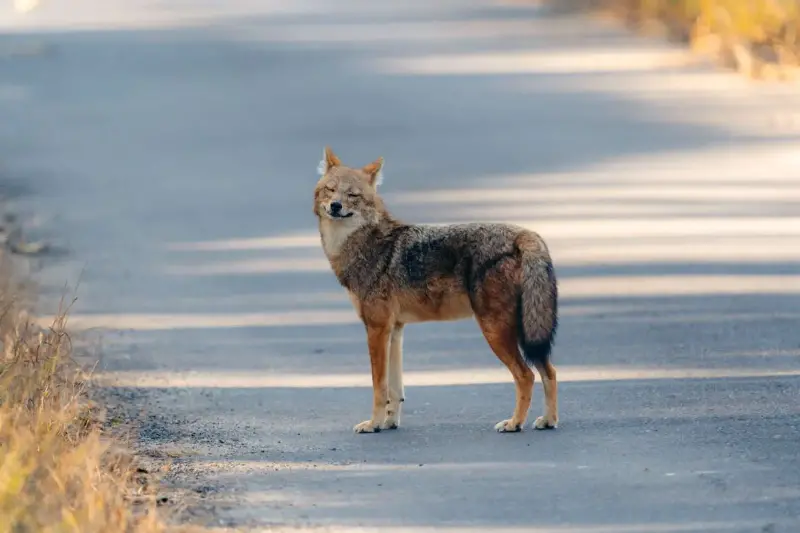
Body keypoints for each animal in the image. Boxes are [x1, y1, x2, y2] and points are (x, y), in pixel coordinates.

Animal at [313, 147, 559, 434]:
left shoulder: (376, 329)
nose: (335, 206)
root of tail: (524, 234)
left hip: (496, 331)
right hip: (525, 330)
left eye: (352, 195)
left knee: (526, 375)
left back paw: (514, 423)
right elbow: (395, 390)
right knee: (550, 371)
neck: (362, 245)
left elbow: (379, 387)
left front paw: (373, 424)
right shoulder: (395, 330)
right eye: (330, 190)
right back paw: (548, 420)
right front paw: (389, 423)